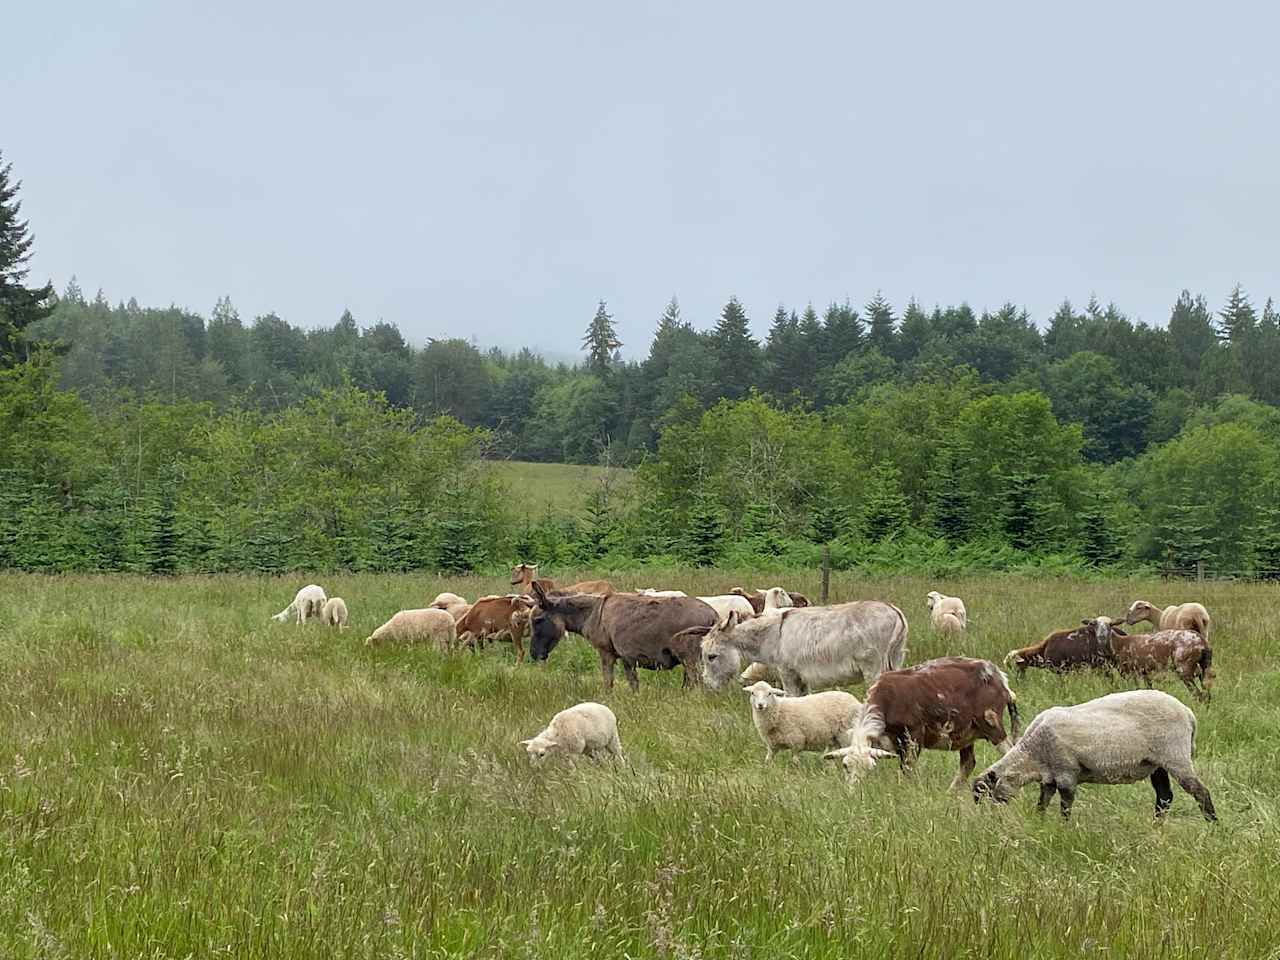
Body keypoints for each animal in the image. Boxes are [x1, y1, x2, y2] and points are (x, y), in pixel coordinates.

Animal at [524, 578, 716, 691]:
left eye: (538, 620)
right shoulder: (627, 659)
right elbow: (633, 685)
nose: (533, 654)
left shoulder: (606, 653)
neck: (591, 614)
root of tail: (713, 615)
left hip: (691, 660)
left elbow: (608, 682)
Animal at [829, 660, 1018, 793]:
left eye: (870, 768)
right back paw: (950, 794)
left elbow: (908, 767)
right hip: (965, 733)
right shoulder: (895, 742)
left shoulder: (914, 735)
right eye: (845, 766)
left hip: (991, 723)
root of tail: (1000, 678)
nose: (854, 792)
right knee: (968, 763)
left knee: (1009, 751)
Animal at [972, 686, 1213, 824]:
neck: (1031, 755)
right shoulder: (1050, 777)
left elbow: (1065, 805)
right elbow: (1042, 802)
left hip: (1175, 755)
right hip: (1157, 763)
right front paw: (1039, 823)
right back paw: (1156, 827)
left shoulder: (1066, 773)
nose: (993, 820)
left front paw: (1063, 829)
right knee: (1164, 797)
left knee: (1200, 792)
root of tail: (1188, 714)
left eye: (987, 794)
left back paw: (1212, 824)